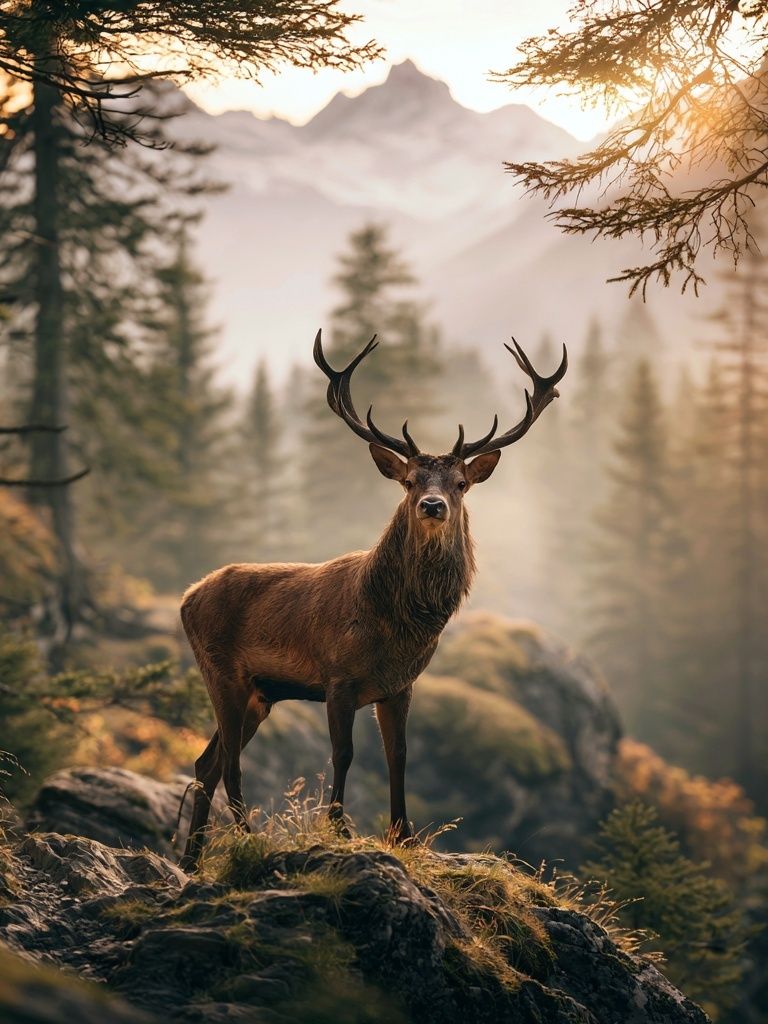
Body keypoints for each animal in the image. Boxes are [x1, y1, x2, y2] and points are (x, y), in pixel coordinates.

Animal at [178, 330, 567, 871]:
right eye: (410, 481)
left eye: (460, 483)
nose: (432, 505)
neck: (396, 625)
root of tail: (187, 597)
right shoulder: (337, 677)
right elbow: (343, 753)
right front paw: (339, 828)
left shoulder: (399, 686)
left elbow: (398, 755)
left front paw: (404, 835)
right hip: (222, 672)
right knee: (230, 763)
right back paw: (245, 837)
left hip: (259, 694)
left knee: (206, 761)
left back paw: (191, 860)